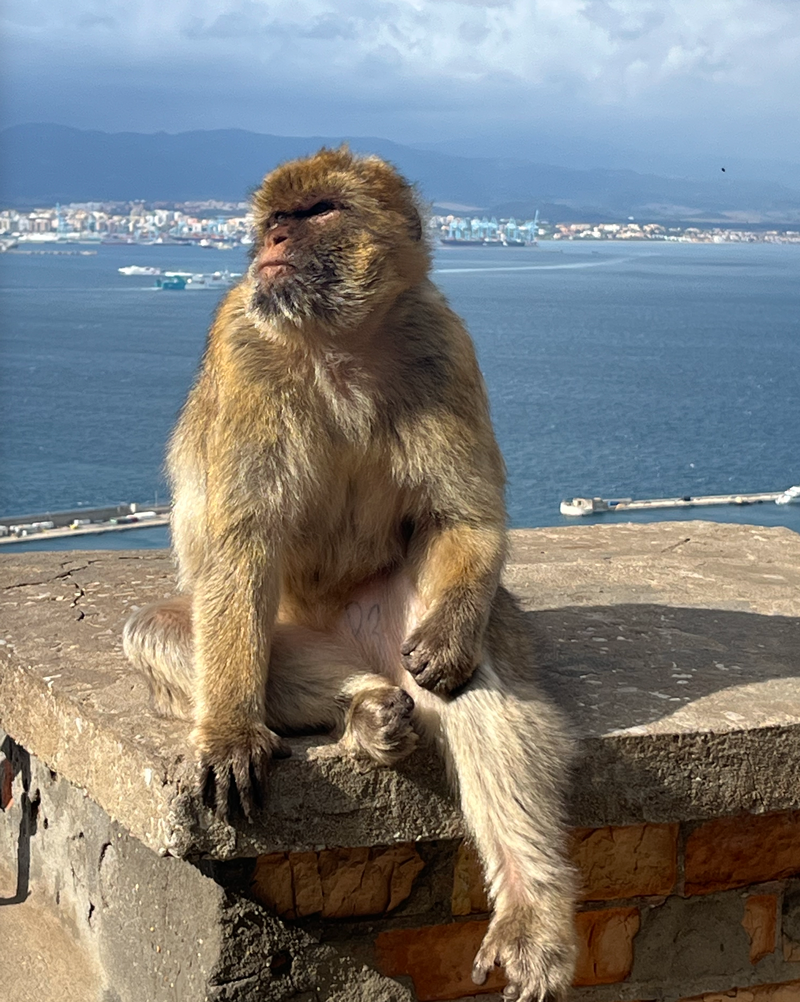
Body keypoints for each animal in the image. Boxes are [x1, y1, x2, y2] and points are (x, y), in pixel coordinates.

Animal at [123, 147, 577, 1001]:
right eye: (274, 219)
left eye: (317, 212)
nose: (271, 243)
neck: (341, 341)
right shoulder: (246, 346)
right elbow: (240, 545)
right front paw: (230, 734)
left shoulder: (441, 342)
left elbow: (464, 519)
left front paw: (451, 641)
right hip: (295, 633)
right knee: (164, 631)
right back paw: (366, 712)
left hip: (388, 619)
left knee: (466, 667)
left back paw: (531, 913)